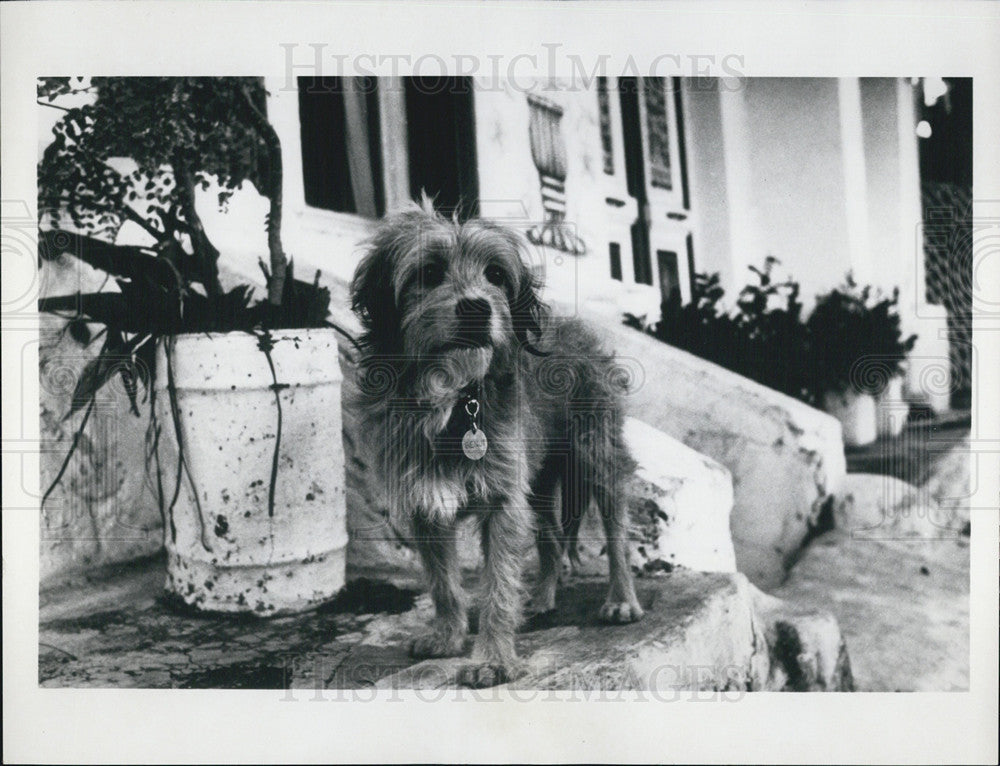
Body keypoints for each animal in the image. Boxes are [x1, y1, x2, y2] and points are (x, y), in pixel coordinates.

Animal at [352, 204, 644, 688]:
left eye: (495, 274)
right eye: (429, 272)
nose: (476, 307)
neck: (455, 398)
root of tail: (577, 330)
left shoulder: (503, 503)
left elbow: (498, 587)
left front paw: (493, 660)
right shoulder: (425, 503)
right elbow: (443, 583)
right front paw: (449, 636)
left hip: (597, 457)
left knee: (616, 535)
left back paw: (621, 600)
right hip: (539, 481)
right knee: (552, 538)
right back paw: (542, 596)